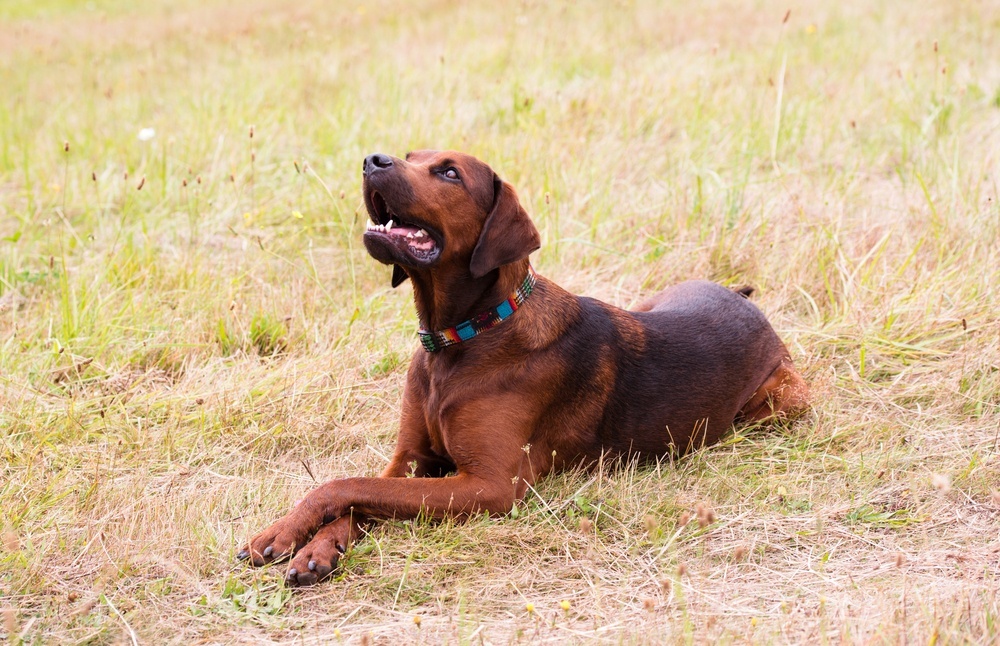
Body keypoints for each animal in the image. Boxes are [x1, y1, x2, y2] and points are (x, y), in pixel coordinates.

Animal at [238, 151, 808, 588]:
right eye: (411, 155)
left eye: (449, 173)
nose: (372, 159)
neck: (465, 338)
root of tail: (742, 299)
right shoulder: (411, 461)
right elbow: (359, 494)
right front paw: (313, 546)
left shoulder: (492, 485)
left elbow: (342, 484)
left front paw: (283, 532)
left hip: (782, 403)